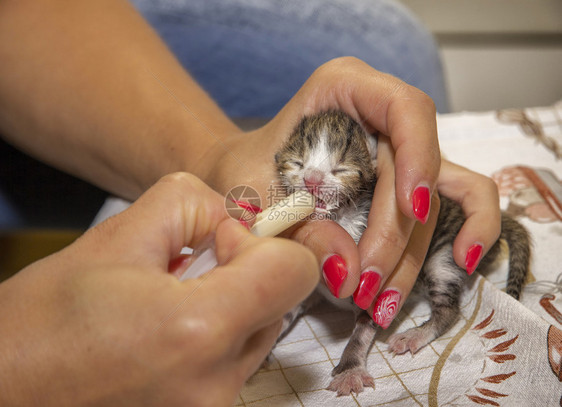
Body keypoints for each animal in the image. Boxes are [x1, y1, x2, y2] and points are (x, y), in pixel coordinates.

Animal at [272, 110, 528, 396]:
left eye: (341, 168)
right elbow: (285, 314)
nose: (312, 180)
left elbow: (361, 333)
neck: (343, 219)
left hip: (445, 255)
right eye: (297, 163)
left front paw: (350, 370)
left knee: (448, 310)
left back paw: (415, 335)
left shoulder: (374, 286)